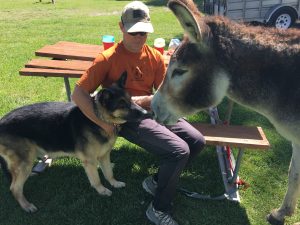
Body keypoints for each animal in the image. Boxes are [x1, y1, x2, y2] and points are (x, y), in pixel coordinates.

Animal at [0, 72, 148, 213]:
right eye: (122, 104)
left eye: (130, 99)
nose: (146, 113)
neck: (98, 118)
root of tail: (1, 122)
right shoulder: (90, 162)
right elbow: (96, 179)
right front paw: (102, 191)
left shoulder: (104, 156)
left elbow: (108, 172)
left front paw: (114, 183)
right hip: (25, 162)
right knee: (14, 187)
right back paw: (26, 206)